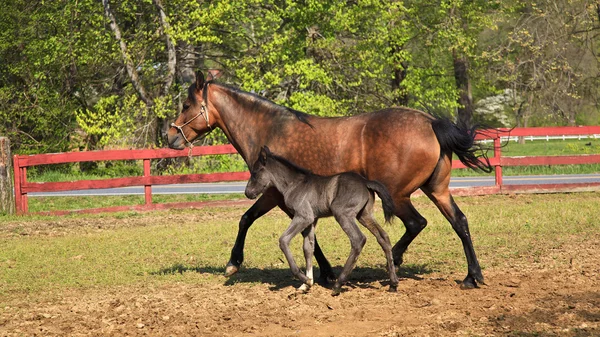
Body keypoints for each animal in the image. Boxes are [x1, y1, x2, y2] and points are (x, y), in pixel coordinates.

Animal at [244, 146, 398, 296]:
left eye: (255, 173)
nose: (247, 193)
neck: (294, 185)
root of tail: (365, 182)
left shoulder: (303, 216)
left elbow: (284, 240)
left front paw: (304, 278)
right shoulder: (312, 220)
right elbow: (308, 248)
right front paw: (306, 285)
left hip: (342, 214)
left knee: (358, 239)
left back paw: (338, 285)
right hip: (364, 215)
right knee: (383, 237)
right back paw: (393, 284)